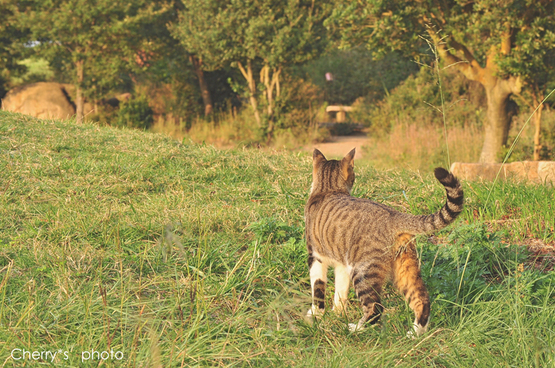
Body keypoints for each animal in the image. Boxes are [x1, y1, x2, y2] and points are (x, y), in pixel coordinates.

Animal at [304, 148, 464, 338]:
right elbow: (340, 291)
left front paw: (315, 315)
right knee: (422, 299)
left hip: (363, 271)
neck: (328, 189)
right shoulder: (342, 264)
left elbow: (317, 289)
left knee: (376, 308)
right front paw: (337, 314)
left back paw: (355, 328)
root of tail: (394, 216)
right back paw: (415, 333)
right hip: (404, 268)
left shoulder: (315, 256)